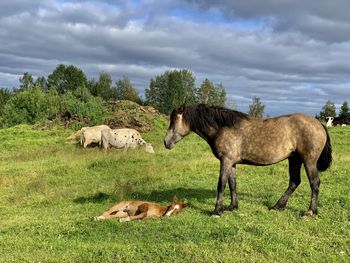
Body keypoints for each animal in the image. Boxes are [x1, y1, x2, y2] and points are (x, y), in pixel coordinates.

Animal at [165, 104, 334, 218]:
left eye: (173, 121)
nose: (166, 142)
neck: (223, 128)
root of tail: (319, 124)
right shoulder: (231, 163)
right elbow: (232, 184)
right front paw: (232, 207)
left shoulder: (226, 161)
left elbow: (221, 185)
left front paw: (216, 211)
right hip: (295, 159)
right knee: (294, 182)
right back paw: (277, 206)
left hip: (308, 161)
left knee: (314, 183)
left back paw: (310, 211)